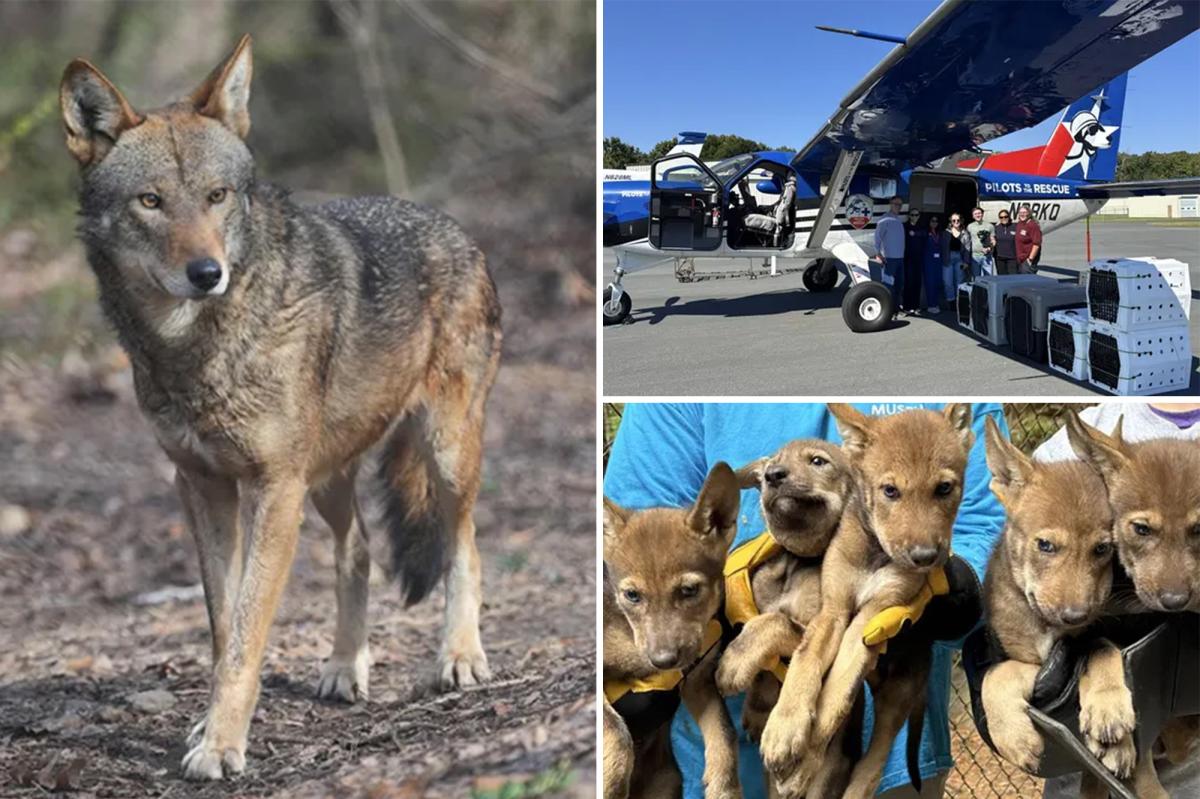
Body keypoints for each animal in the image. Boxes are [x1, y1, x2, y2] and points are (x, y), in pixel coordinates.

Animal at [59, 35, 501, 780]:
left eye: (216, 196)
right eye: (151, 201)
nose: (207, 273)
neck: (195, 350)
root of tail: (452, 225)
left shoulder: (273, 488)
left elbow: (245, 633)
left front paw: (220, 745)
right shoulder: (202, 486)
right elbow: (222, 627)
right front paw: (211, 726)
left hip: (442, 453)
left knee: (463, 546)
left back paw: (460, 656)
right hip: (326, 480)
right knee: (359, 554)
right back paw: (346, 668)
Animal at [603, 463, 743, 799]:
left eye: (689, 590)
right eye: (632, 595)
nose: (664, 661)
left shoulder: (698, 681)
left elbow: (725, 736)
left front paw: (724, 789)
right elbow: (616, 733)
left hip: (667, 783)